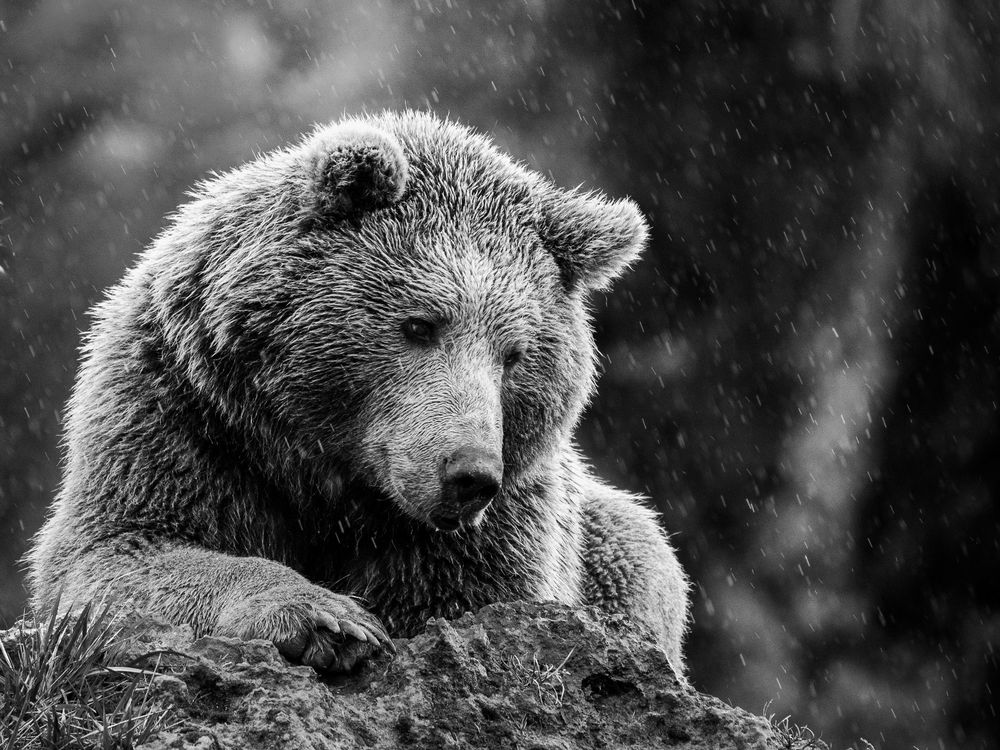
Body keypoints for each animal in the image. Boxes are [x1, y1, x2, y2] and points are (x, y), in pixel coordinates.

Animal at [28, 111, 689, 677]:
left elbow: (464, 601)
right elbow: (123, 551)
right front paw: (326, 618)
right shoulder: (184, 417)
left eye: (514, 354)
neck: (330, 479)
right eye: (420, 324)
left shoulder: (496, 534)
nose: (469, 475)